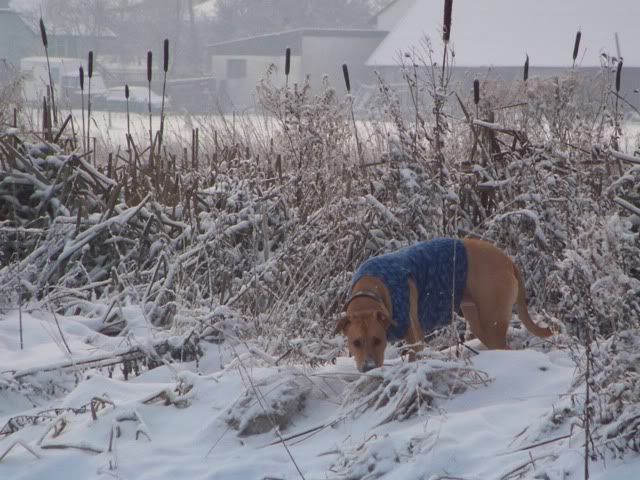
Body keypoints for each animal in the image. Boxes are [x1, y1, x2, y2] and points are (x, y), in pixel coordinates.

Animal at [335, 238, 553, 372]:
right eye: (355, 343)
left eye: (378, 340)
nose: (368, 368)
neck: (372, 288)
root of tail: (508, 261)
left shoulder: (415, 338)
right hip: (479, 321)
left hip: (493, 322)